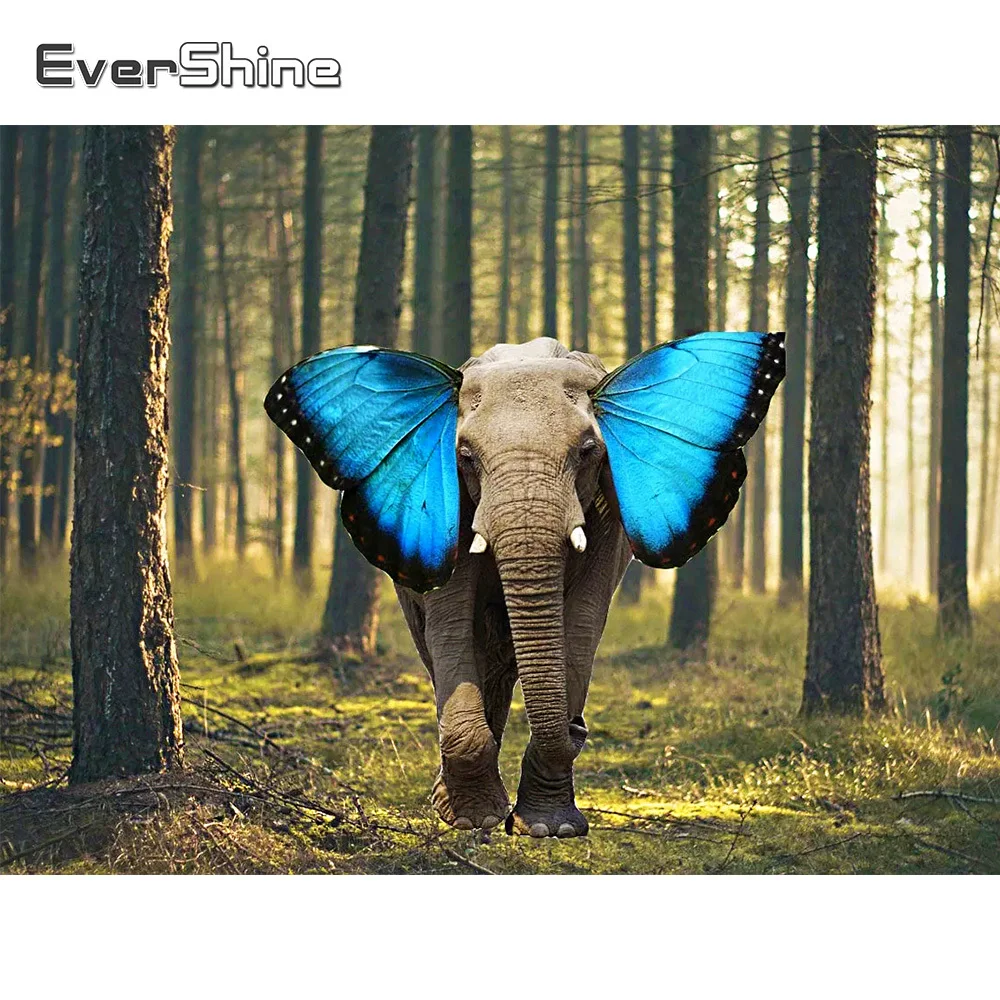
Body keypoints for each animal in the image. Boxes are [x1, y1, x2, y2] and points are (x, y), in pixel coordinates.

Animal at [265, 332, 784, 838]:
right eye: (464, 456)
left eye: (588, 451)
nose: (579, 727)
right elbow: (451, 623)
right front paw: (473, 819)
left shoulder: (607, 516)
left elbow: (582, 623)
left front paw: (549, 827)